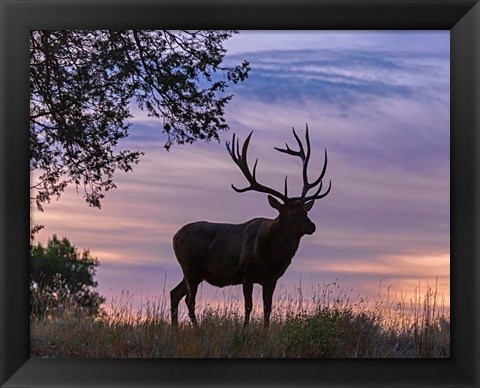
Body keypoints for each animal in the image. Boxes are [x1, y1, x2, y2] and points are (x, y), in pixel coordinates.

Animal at [171, 124, 332, 328]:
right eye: (291, 212)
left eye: (306, 211)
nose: (312, 226)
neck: (271, 256)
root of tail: (174, 237)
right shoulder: (246, 273)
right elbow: (248, 306)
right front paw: (244, 331)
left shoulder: (271, 279)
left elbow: (267, 309)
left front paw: (264, 332)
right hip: (190, 266)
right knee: (189, 300)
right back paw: (197, 330)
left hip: (195, 272)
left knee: (175, 293)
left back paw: (175, 328)